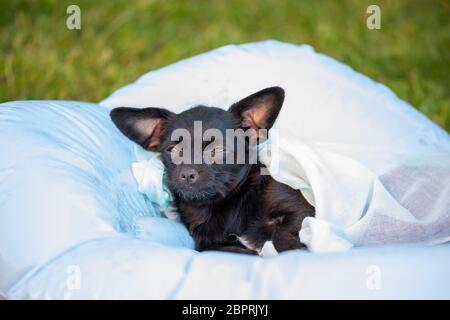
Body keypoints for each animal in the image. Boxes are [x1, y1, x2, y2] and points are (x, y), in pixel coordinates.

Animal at [110, 87, 314, 255]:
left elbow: (282, 239)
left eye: (218, 150)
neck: (224, 206)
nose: (187, 173)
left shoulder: (301, 214)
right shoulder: (211, 246)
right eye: (173, 150)